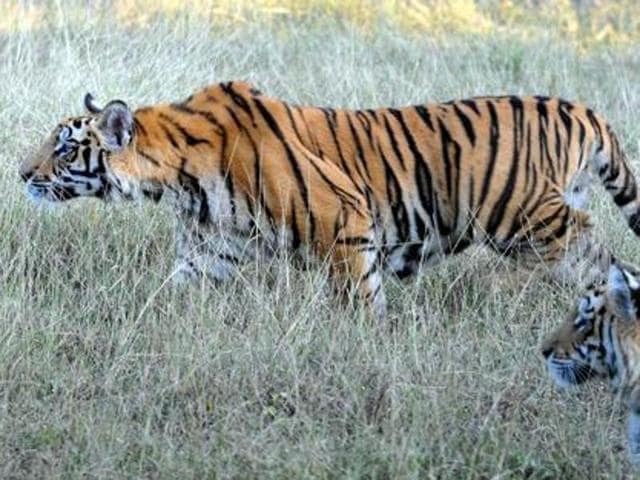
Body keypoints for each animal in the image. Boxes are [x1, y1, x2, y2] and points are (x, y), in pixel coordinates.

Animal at [18, 81, 640, 321]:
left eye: (65, 147)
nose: (21, 172)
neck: (178, 178)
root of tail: (580, 109)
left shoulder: (343, 221)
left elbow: (363, 299)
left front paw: (374, 343)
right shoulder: (207, 254)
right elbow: (167, 293)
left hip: (528, 220)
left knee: (601, 255)